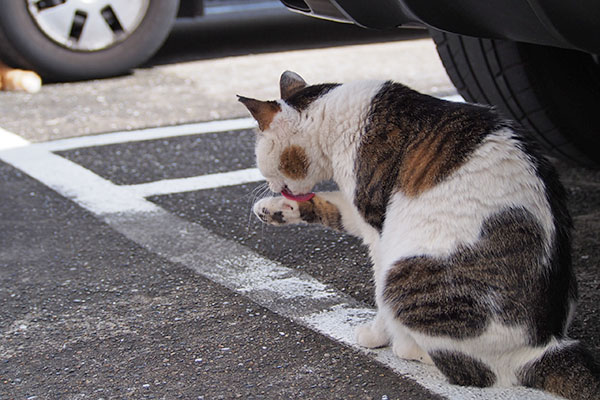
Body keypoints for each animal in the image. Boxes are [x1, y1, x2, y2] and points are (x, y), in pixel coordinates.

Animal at [239, 70, 600, 398]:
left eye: (266, 163)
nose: (272, 187)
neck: (335, 118)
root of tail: (545, 345)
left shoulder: (377, 224)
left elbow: (377, 295)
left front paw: (376, 336)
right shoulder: (360, 211)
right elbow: (331, 206)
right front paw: (274, 209)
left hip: (402, 273)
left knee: (476, 372)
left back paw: (408, 346)